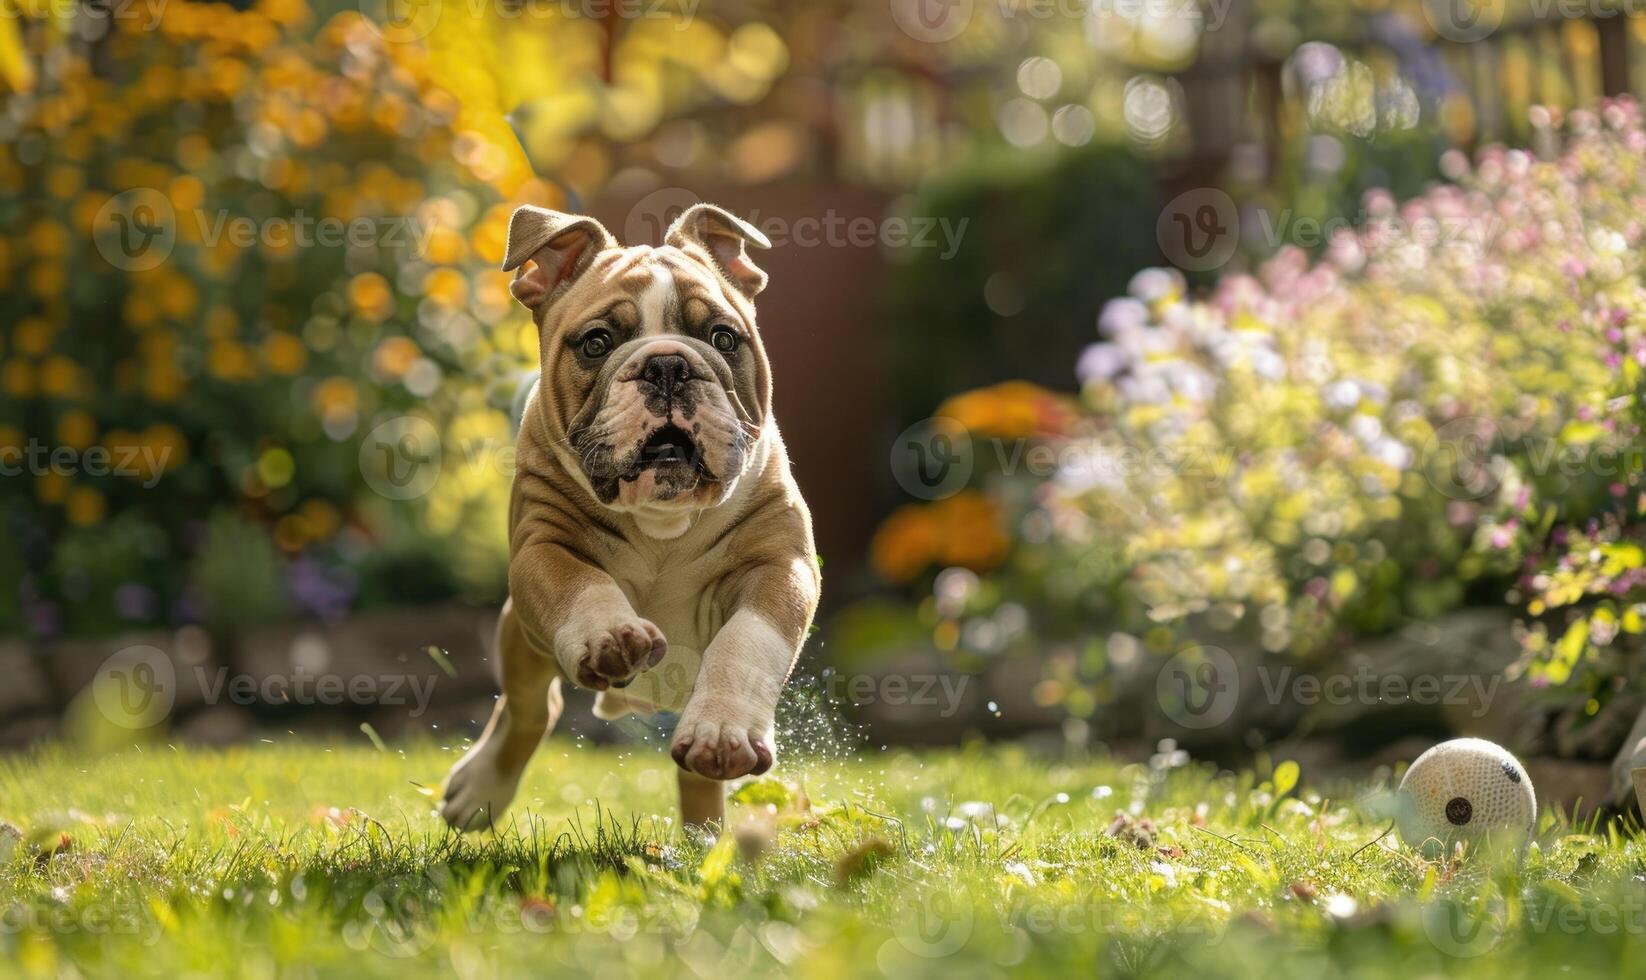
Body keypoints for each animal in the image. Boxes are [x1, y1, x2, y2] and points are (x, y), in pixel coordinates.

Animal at [441, 203, 819, 833]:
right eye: (597, 343)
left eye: (722, 337)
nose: (667, 365)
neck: (661, 517)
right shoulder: (542, 548)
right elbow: (578, 582)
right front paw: (610, 635)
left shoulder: (780, 564)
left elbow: (748, 640)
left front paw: (727, 728)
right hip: (522, 632)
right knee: (530, 707)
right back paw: (479, 787)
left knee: (695, 773)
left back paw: (703, 828)